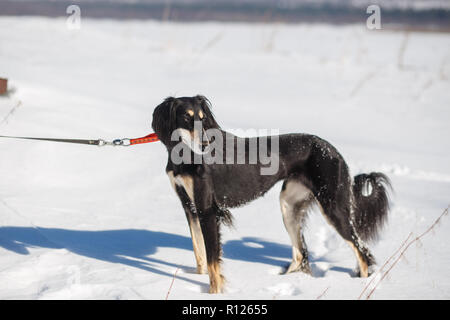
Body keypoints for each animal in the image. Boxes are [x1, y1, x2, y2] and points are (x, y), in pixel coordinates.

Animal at [150, 94, 390, 292]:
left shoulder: (207, 210)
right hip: (289, 205)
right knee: (301, 254)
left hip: (333, 207)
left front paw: (213, 293)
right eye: (186, 117)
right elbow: (198, 251)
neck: (184, 155)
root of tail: (333, 150)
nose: (206, 143)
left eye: (202, 117)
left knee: (362, 252)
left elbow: (211, 260)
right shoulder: (190, 207)